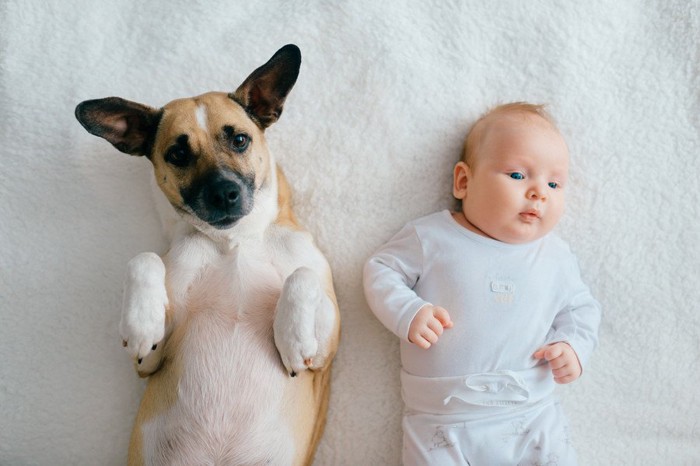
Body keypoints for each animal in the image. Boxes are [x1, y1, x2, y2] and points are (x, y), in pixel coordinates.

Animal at [75, 44, 340, 466]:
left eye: (240, 140)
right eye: (178, 154)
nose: (223, 193)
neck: (235, 240)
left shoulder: (326, 350)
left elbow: (303, 275)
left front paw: (293, 336)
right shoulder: (147, 363)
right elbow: (144, 258)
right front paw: (141, 322)